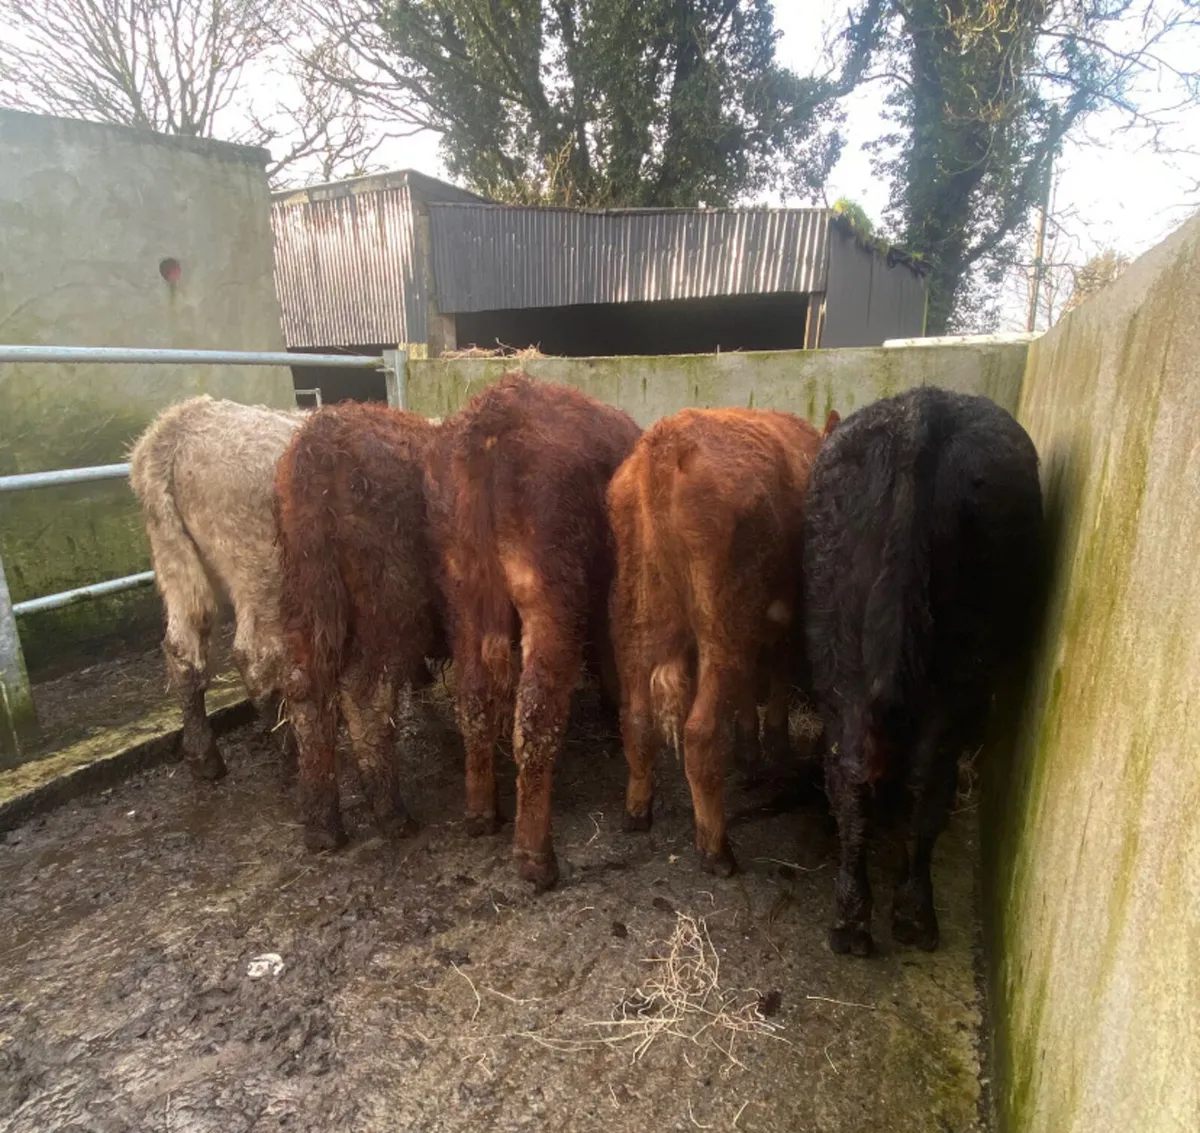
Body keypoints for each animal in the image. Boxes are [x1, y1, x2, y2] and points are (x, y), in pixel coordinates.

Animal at [129, 395, 303, 780]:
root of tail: (177, 425)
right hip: (261, 570)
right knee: (258, 657)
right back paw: (290, 751)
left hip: (173, 560)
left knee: (182, 649)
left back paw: (203, 758)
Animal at [273, 402, 444, 852]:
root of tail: (324, 434)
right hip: (392, 614)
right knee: (366, 698)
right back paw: (392, 814)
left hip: (307, 608)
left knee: (304, 694)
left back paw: (322, 824)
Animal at [426, 373, 641, 890]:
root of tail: (494, 418)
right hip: (552, 601)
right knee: (536, 716)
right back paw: (535, 857)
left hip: (464, 596)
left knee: (474, 700)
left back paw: (482, 813)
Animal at [607, 408, 827, 876]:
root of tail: (667, 446)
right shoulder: (783, 615)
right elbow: (776, 672)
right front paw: (772, 742)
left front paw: (749, 745)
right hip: (723, 624)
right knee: (700, 734)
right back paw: (715, 849)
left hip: (634, 618)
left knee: (637, 719)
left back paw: (637, 810)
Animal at [803, 386, 1043, 957]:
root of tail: (921, 415)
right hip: (958, 668)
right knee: (926, 782)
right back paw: (914, 917)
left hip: (842, 655)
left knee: (852, 774)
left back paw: (853, 922)